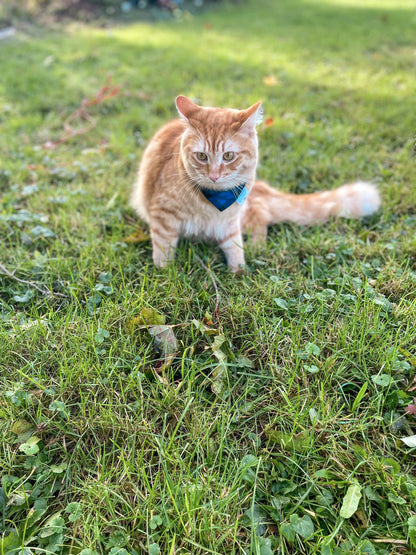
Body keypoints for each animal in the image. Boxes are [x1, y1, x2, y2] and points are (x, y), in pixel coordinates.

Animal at [131, 96, 380, 274]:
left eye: (228, 156)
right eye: (201, 156)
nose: (214, 176)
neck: (213, 200)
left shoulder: (230, 223)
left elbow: (235, 248)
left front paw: (239, 273)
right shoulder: (163, 216)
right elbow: (163, 249)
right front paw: (164, 272)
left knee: (262, 219)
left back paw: (256, 247)